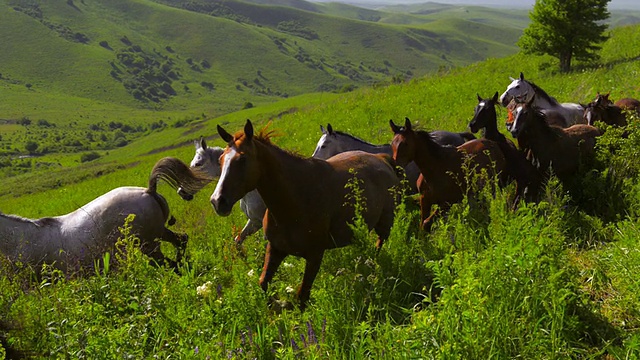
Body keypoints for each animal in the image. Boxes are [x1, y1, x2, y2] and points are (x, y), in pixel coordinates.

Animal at [0, 158, 192, 272]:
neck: (22, 240)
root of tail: (148, 191)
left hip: (149, 244)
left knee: (168, 263)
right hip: (159, 233)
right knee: (181, 241)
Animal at [210, 120, 400, 310]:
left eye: (242, 159)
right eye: (220, 160)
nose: (217, 201)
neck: (294, 201)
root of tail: (381, 158)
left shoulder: (315, 255)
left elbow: (301, 298)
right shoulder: (276, 248)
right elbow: (263, 284)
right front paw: (281, 303)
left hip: (385, 223)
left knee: (379, 244)